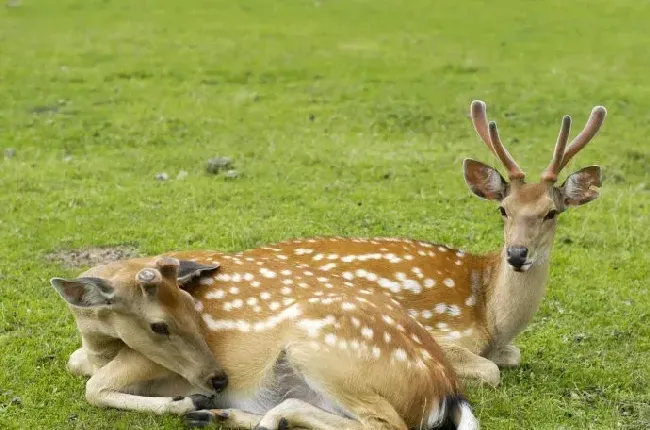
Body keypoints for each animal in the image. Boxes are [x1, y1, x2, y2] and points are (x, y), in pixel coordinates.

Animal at [50, 255, 476, 430]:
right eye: (159, 325)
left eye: (193, 307)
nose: (218, 381)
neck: (99, 348)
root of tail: (446, 391)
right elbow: (77, 367)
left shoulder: (146, 361)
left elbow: (94, 388)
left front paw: (183, 401)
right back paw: (222, 416)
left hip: (321, 351)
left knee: (387, 425)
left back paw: (255, 416)